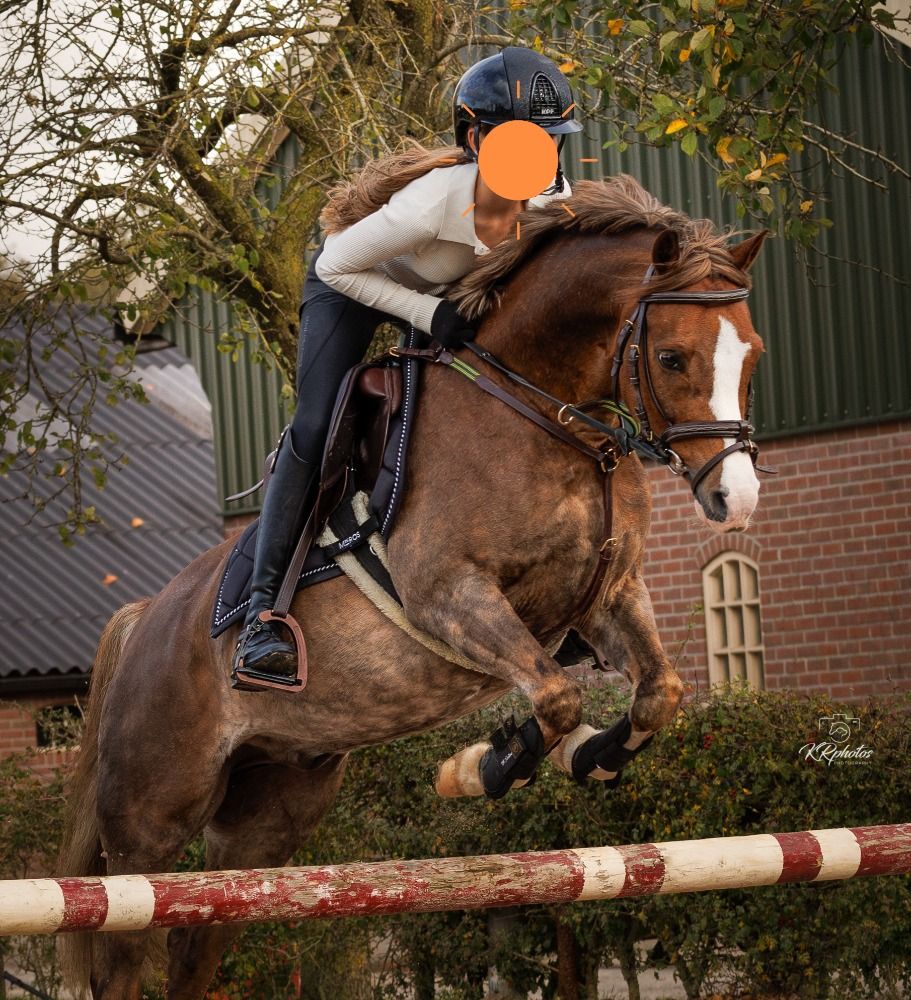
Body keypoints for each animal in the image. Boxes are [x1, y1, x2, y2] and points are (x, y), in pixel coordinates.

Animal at [58, 175, 768, 999]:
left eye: (750, 354)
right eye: (673, 357)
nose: (736, 500)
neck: (547, 414)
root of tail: (145, 619)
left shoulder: (608, 595)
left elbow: (657, 693)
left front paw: (582, 757)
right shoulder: (448, 594)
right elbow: (556, 693)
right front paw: (484, 768)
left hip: (264, 818)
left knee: (198, 943)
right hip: (148, 823)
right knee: (126, 942)